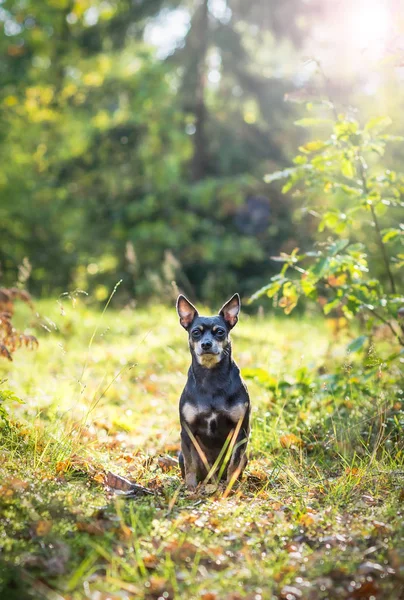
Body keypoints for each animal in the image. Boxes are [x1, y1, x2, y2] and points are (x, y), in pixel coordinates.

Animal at [176, 292, 249, 490]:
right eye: (196, 332)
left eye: (220, 332)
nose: (206, 344)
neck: (211, 377)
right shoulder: (187, 432)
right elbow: (190, 463)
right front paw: (190, 488)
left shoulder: (240, 430)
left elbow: (234, 462)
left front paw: (231, 487)